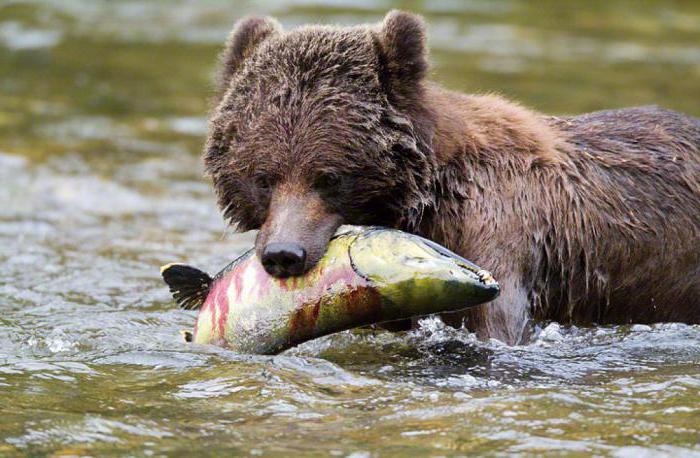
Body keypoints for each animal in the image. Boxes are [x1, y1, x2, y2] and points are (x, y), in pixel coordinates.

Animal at [205, 9, 700, 344]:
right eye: (263, 176)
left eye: (329, 177)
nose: (283, 254)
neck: (426, 193)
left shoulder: (498, 235)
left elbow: (494, 327)